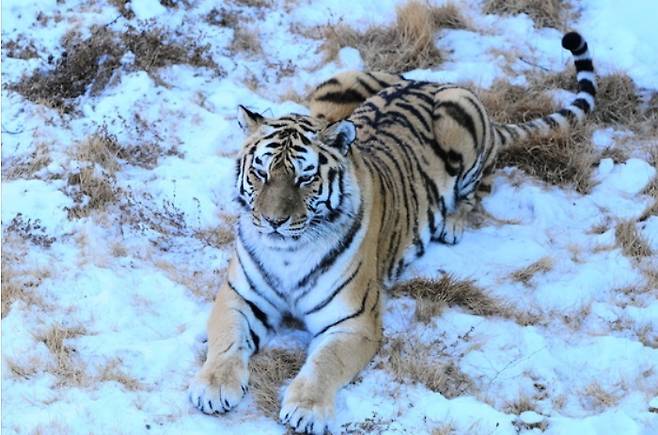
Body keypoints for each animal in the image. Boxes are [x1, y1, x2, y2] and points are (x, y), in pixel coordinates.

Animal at [188, 31, 596, 435]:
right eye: (260, 173)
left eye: (305, 177)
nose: (273, 221)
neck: (287, 252)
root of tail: (432, 81)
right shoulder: (238, 297)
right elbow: (226, 340)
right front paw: (213, 386)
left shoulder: (353, 322)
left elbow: (324, 366)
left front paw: (307, 409)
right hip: (335, 84)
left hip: (460, 124)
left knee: (481, 182)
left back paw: (452, 223)